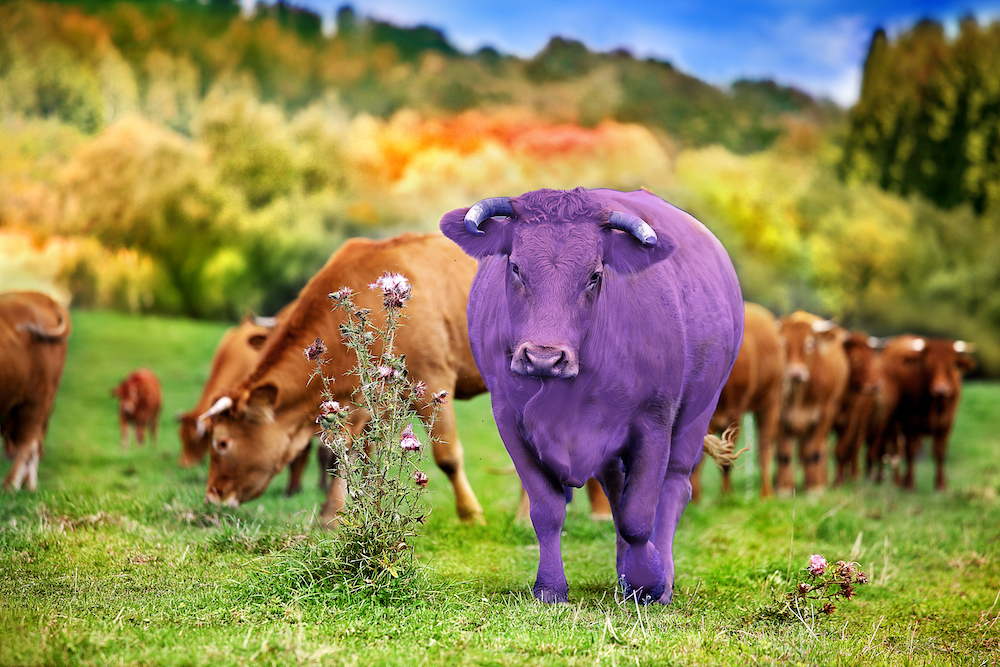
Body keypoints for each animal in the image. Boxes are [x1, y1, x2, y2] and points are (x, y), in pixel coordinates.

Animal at [198, 233, 487, 527]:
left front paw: (471, 516)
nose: (212, 497)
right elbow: (353, 452)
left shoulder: (432, 378)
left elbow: (447, 458)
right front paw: (336, 513)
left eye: (222, 443)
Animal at [441, 187, 744, 605]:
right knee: (617, 490)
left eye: (595, 275)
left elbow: (638, 516)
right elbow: (548, 509)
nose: (544, 357)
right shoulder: (509, 419)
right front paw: (551, 588)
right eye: (516, 267)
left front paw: (652, 581)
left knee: (674, 488)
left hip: (696, 414)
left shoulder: (654, 419)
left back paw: (657, 575)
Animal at [691, 302, 785, 500]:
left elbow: (726, 456)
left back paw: (766, 493)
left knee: (764, 447)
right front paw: (696, 498)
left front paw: (726, 496)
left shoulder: (735, 411)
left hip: (771, 401)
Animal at [774, 311, 849, 493]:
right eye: (783, 343)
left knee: (820, 451)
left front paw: (815, 488)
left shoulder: (825, 414)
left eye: (809, 344)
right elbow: (784, 454)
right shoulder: (779, 416)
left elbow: (814, 452)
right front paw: (784, 488)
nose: (795, 373)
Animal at [871, 335, 975, 490]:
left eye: (951, 365)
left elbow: (940, 452)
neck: (935, 404)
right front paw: (909, 483)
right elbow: (910, 452)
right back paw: (894, 481)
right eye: (928, 364)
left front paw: (941, 484)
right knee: (893, 449)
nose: (941, 389)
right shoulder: (911, 423)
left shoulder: (947, 424)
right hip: (892, 422)